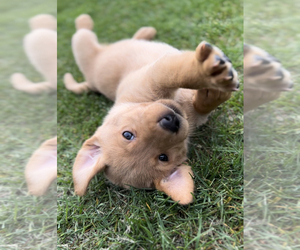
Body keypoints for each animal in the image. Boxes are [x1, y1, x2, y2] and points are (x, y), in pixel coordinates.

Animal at [63, 14, 239, 205]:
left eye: (127, 134)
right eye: (163, 157)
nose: (170, 121)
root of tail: (90, 82)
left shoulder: (151, 79)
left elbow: (178, 78)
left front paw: (210, 87)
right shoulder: (152, 76)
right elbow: (174, 72)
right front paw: (208, 74)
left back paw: (145, 31)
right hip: (84, 48)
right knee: (82, 34)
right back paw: (83, 20)